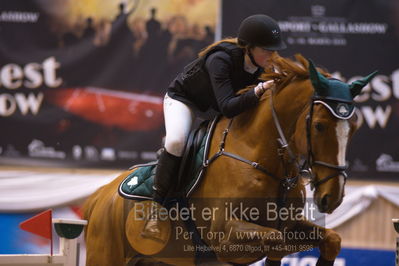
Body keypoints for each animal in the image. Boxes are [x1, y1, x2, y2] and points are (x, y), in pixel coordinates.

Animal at [83, 54, 376, 266]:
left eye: (354, 128)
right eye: (319, 126)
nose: (332, 197)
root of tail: (101, 196)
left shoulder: (290, 225)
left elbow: (331, 239)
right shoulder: (224, 237)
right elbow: (276, 240)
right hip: (106, 256)